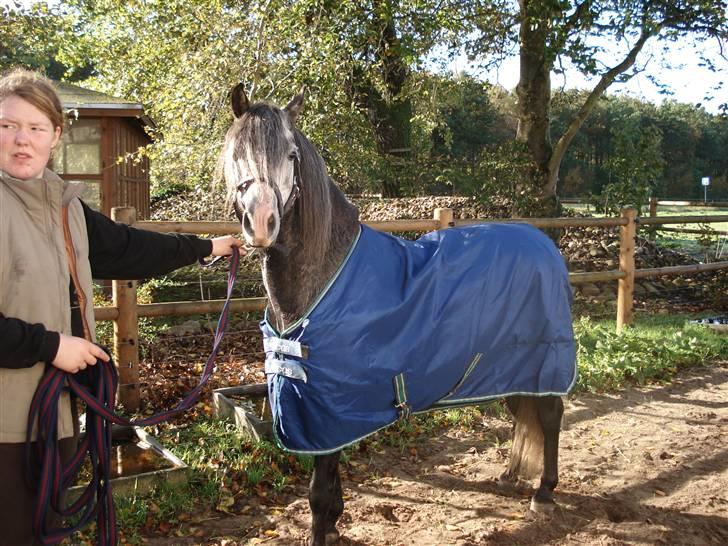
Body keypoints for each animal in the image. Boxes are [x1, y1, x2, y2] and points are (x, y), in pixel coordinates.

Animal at [220, 84, 576, 546]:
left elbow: (318, 491)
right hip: (507, 367)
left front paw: (323, 529)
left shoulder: (328, 409)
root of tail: (544, 243)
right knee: (523, 411)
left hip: (542, 359)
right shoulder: (329, 412)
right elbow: (331, 481)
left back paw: (544, 492)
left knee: (549, 417)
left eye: (292, 154)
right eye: (235, 152)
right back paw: (510, 476)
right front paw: (334, 524)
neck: (325, 275)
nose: (261, 222)